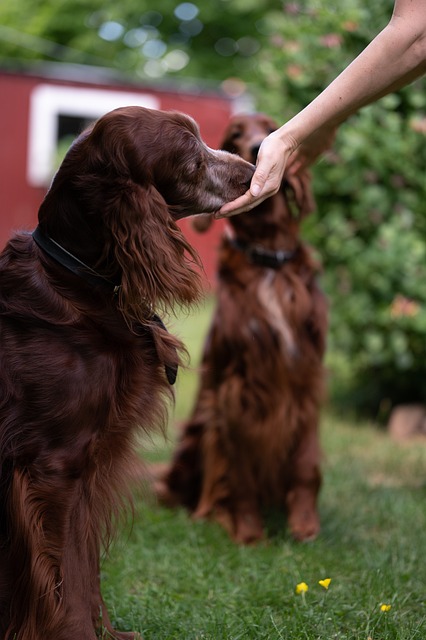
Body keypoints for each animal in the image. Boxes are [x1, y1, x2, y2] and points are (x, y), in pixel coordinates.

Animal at [155, 112, 328, 544]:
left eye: (269, 127)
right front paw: (248, 531)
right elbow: (239, 469)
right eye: (235, 134)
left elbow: (306, 462)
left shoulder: (308, 378)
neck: (268, 261)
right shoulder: (236, 386)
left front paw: (305, 526)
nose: (257, 147)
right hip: (196, 432)